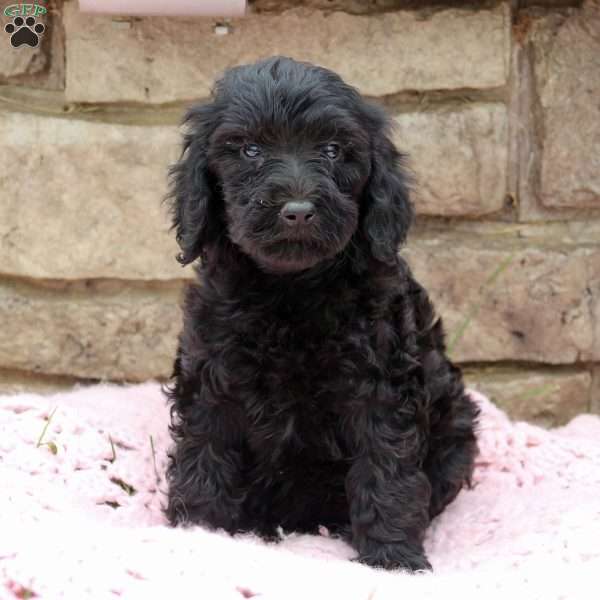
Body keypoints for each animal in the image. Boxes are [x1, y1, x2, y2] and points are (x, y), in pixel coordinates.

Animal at [164, 57, 478, 572]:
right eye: (250, 149)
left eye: (332, 151)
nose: (297, 211)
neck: (291, 289)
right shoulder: (213, 376)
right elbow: (204, 452)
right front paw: (197, 533)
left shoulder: (379, 385)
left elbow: (385, 466)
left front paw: (394, 558)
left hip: (456, 426)